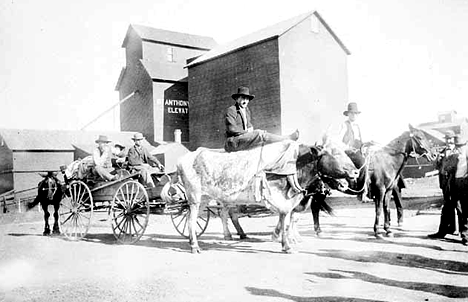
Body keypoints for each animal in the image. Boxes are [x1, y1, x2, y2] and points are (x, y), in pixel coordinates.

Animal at [174, 141, 356, 252]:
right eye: (335, 154)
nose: (355, 172)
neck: (293, 166)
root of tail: (188, 156)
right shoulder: (280, 200)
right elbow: (285, 222)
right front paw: (286, 244)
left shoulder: (291, 203)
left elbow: (288, 222)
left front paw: (287, 241)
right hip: (195, 197)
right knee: (192, 219)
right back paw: (195, 246)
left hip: (206, 199)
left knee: (213, 215)